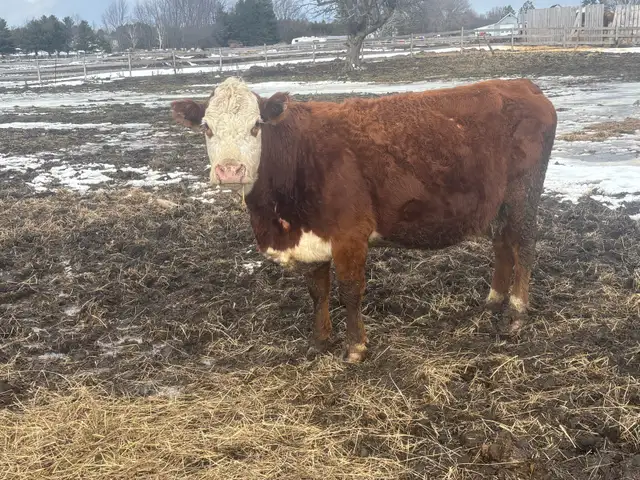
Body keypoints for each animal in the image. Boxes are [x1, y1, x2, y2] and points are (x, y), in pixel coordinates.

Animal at [170, 76, 557, 363]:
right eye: (206, 128)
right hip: (497, 204)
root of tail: (522, 85)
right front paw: (319, 340)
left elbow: (350, 290)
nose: (230, 170)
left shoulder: (349, 233)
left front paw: (355, 347)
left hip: (523, 195)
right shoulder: (314, 235)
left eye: (255, 126)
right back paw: (492, 302)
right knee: (503, 244)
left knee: (523, 244)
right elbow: (318, 291)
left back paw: (516, 313)